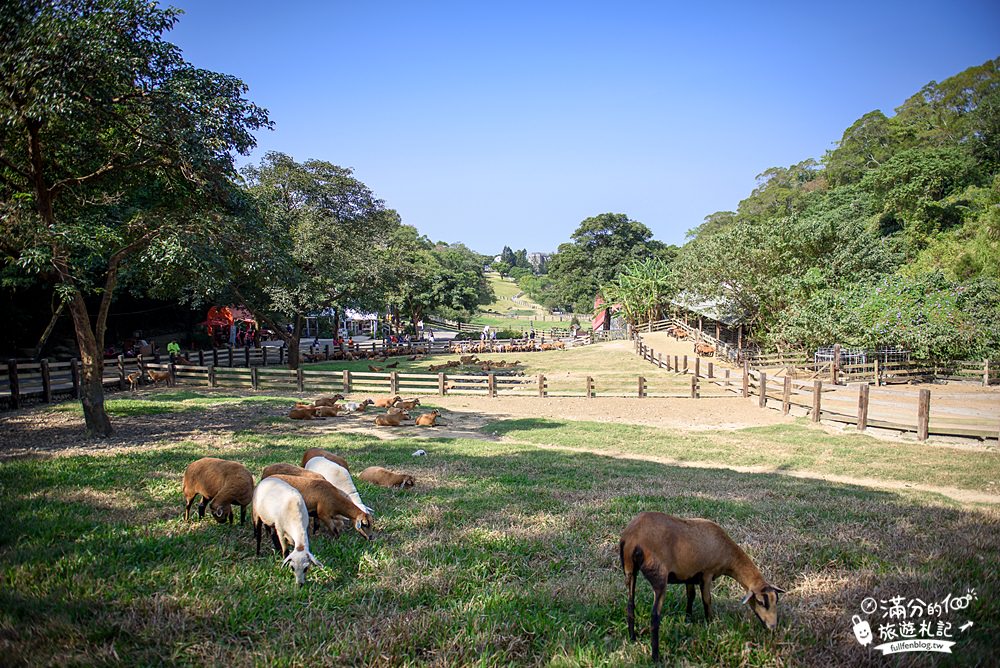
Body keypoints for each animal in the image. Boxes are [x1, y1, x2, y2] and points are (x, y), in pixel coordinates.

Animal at [616, 512, 788, 664]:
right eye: (760, 602)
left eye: (776, 601)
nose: (772, 627)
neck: (728, 556)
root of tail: (632, 538)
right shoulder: (706, 573)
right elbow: (707, 600)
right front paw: (711, 623)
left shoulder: (689, 575)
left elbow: (691, 596)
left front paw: (688, 619)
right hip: (659, 575)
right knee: (654, 616)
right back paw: (655, 657)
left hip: (629, 570)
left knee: (630, 605)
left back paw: (632, 638)